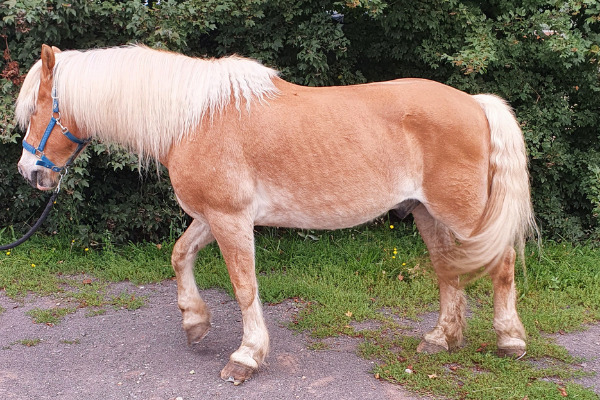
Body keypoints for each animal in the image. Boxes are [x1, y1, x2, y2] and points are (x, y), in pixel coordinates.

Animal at [16, 43, 536, 384]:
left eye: (39, 109)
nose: (29, 172)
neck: (194, 119)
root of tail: (476, 105)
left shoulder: (230, 219)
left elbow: (244, 287)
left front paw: (246, 357)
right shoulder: (211, 217)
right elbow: (179, 255)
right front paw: (194, 322)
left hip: (465, 214)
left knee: (503, 265)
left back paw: (510, 341)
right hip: (429, 215)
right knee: (448, 270)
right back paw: (441, 339)